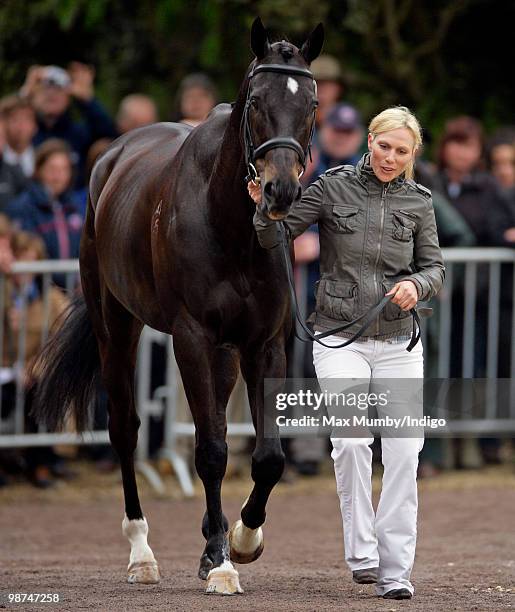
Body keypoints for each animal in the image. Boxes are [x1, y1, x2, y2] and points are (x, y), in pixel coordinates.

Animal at [31, 17, 322, 592]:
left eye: (311, 103)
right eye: (257, 101)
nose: (280, 190)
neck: (230, 224)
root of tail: (111, 158)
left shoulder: (265, 343)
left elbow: (267, 456)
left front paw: (241, 539)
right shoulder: (190, 337)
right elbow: (209, 451)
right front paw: (222, 563)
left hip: (224, 354)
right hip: (116, 324)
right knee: (125, 428)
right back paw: (141, 553)